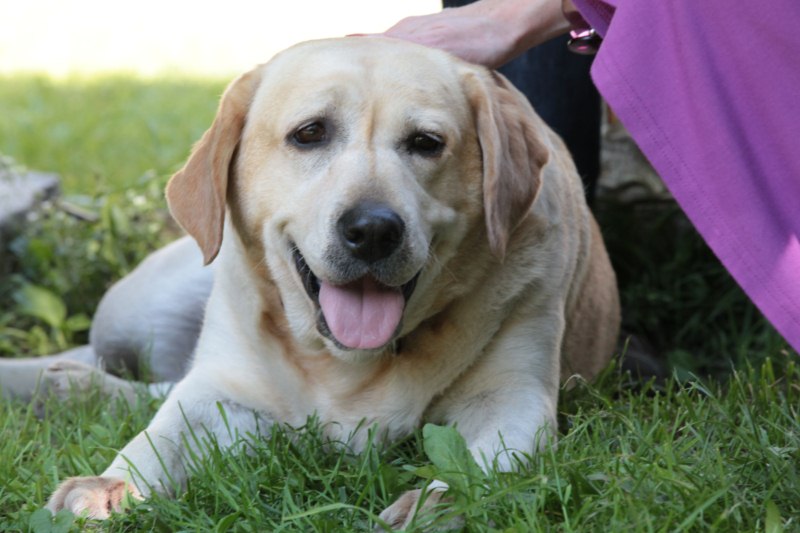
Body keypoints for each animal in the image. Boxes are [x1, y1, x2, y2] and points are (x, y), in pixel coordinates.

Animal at [5, 37, 620, 528]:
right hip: (133, 311)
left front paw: (432, 507)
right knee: (157, 379)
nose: (372, 230)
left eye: (426, 143)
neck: (349, 365)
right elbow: (160, 437)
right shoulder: (217, 392)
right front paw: (108, 489)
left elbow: (480, 466)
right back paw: (63, 386)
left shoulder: (515, 400)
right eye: (309, 134)